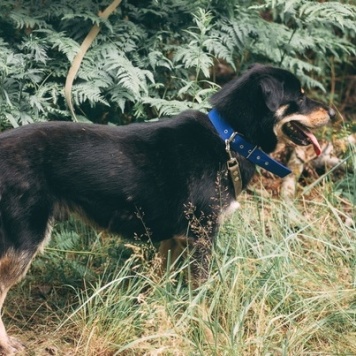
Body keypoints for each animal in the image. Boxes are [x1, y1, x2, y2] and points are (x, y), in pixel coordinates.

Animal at [0, 64, 334, 354]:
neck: (229, 138)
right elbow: (200, 294)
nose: (332, 113)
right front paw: (206, 334)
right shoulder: (201, 237)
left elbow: (162, 287)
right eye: (300, 96)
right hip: (25, 239)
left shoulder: (173, 240)